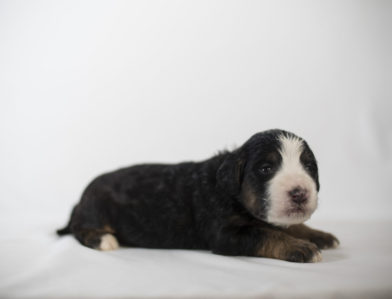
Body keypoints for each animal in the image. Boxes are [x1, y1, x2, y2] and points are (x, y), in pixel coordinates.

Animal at [56, 130, 338, 264]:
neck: (229, 191)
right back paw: (103, 239)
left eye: (309, 167)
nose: (300, 193)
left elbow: (290, 226)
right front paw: (301, 247)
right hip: (96, 207)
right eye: (266, 169)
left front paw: (320, 236)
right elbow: (266, 234)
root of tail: (80, 200)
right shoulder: (225, 234)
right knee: (79, 229)